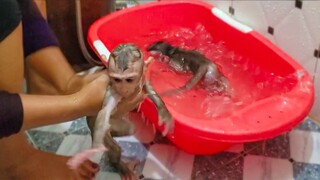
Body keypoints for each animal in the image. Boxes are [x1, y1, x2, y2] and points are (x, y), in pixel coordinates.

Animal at [67, 43, 172, 179]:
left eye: (129, 80)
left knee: (130, 129)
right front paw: (90, 152)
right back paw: (119, 164)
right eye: (117, 80)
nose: (123, 89)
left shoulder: (141, 81)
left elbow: (150, 89)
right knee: (113, 145)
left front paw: (165, 115)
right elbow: (104, 112)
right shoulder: (112, 90)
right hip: (94, 125)